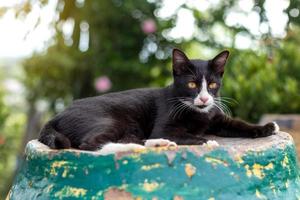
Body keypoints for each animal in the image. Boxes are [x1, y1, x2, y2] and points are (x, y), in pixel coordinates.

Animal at [38, 47, 280, 154]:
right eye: (192, 85)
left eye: (212, 85)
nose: (204, 98)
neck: (198, 112)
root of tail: (57, 115)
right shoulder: (164, 124)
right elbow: (185, 134)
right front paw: (206, 141)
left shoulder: (216, 117)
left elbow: (237, 124)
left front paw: (267, 127)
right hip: (109, 119)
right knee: (91, 144)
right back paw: (149, 144)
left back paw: (157, 143)